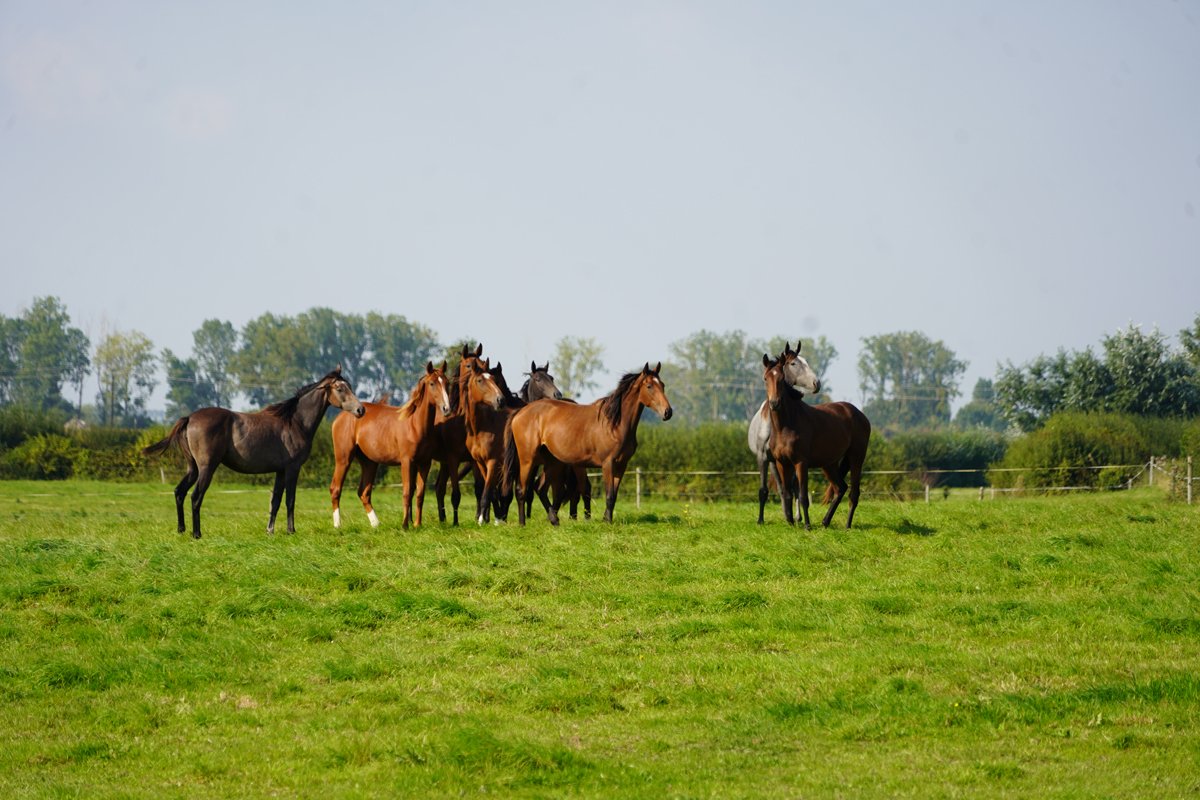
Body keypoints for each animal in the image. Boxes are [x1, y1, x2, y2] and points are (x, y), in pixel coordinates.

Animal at [142, 367, 363, 539]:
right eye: (340, 388)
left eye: (350, 386)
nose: (360, 410)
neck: (294, 422)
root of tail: (189, 418)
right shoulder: (292, 468)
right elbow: (290, 500)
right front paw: (291, 530)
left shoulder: (280, 471)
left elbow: (275, 501)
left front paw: (270, 530)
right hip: (206, 468)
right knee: (196, 497)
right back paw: (197, 534)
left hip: (193, 468)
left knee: (179, 492)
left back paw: (181, 530)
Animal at [329, 361, 452, 529]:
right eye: (432, 383)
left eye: (447, 383)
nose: (447, 409)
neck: (415, 424)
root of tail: (341, 416)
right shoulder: (406, 462)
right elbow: (407, 492)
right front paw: (405, 525)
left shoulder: (424, 463)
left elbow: (420, 494)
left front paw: (417, 524)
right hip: (343, 459)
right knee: (336, 489)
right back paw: (337, 525)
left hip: (369, 463)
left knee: (364, 493)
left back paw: (376, 524)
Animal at [504, 363, 673, 525]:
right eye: (649, 386)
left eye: (663, 385)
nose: (668, 412)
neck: (614, 424)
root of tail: (521, 412)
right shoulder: (608, 464)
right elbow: (609, 495)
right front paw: (607, 522)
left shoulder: (621, 465)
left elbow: (614, 495)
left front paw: (605, 519)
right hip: (528, 460)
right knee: (522, 490)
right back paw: (522, 523)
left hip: (553, 462)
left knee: (540, 488)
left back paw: (554, 520)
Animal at [748, 340, 822, 524]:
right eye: (794, 363)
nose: (817, 383)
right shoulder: (764, 457)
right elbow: (764, 490)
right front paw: (760, 520)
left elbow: (792, 489)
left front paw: (795, 516)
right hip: (774, 462)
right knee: (783, 488)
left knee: (792, 488)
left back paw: (795, 516)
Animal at [761, 353, 871, 529]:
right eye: (766, 378)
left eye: (781, 379)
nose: (774, 403)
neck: (786, 426)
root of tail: (859, 414)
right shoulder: (782, 463)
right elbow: (787, 494)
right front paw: (791, 523)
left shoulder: (801, 463)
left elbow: (803, 496)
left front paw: (807, 526)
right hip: (829, 464)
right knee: (840, 488)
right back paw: (825, 522)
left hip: (856, 458)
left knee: (854, 493)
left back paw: (847, 526)